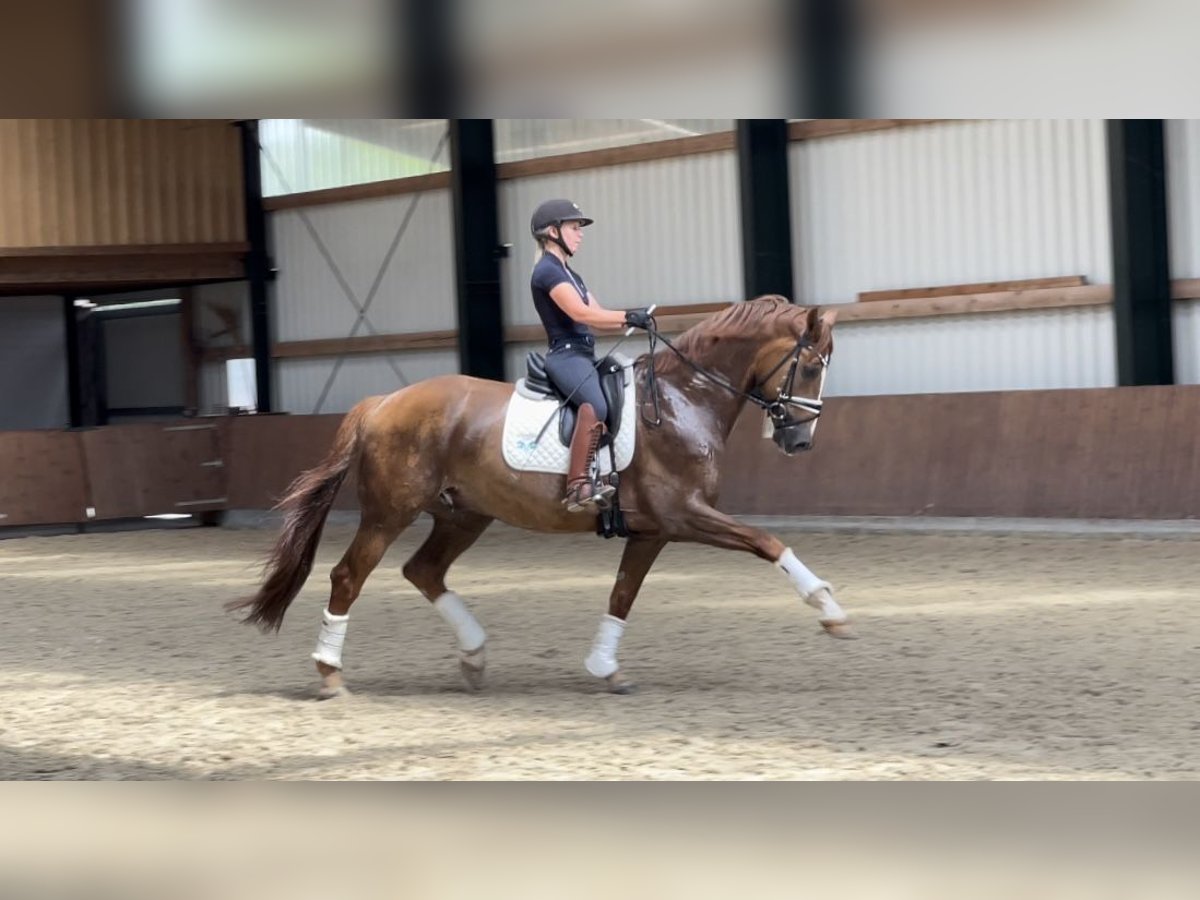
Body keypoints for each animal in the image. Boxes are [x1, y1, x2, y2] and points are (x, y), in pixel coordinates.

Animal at [229, 296, 854, 696]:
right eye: (811, 366)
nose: (799, 441)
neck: (684, 398)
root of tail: (383, 402)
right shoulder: (685, 515)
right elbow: (767, 541)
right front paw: (830, 611)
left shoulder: (653, 530)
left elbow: (622, 595)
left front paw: (604, 667)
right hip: (390, 513)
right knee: (349, 577)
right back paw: (330, 672)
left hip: (463, 515)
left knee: (423, 571)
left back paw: (475, 655)